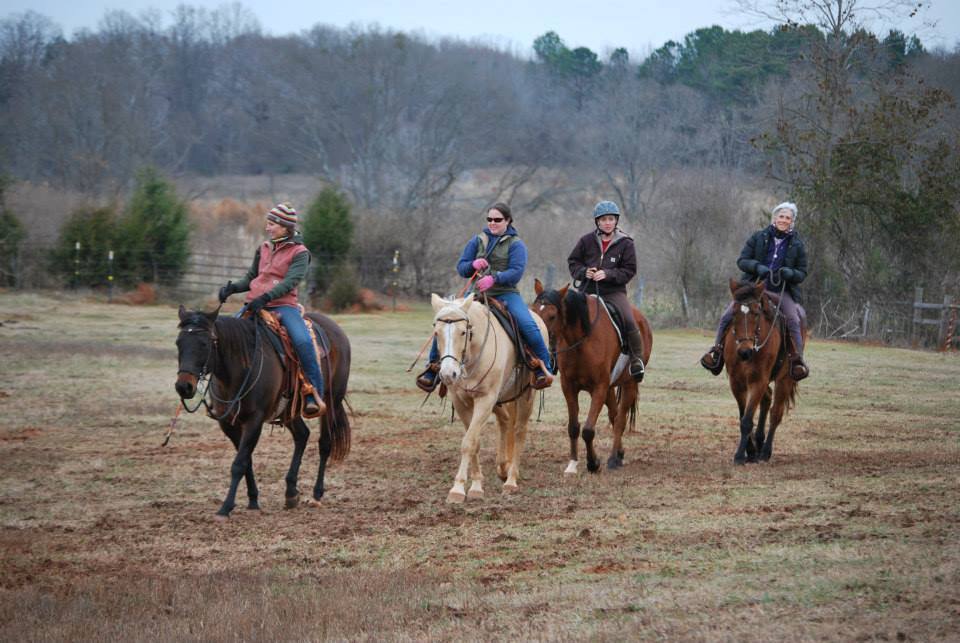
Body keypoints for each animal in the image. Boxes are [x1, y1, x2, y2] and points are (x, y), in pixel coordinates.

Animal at [174, 306, 350, 520]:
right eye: (178, 343)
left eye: (204, 343)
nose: (184, 387)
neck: (240, 367)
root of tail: (336, 329)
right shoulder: (228, 424)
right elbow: (246, 461)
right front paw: (253, 500)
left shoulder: (254, 420)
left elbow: (239, 463)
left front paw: (225, 507)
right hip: (289, 410)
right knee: (302, 435)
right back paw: (291, 493)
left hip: (331, 401)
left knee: (325, 444)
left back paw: (316, 495)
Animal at [430, 294, 544, 504]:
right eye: (436, 333)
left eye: (463, 332)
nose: (448, 374)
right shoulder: (461, 402)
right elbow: (474, 442)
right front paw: (475, 486)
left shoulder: (485, 400)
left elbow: (468, 442)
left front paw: (457, 489)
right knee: (505, 421)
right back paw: (503, 468)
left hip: (526, 395)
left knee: (519, 431)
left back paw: (511, 480)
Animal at [532, 280, 652, 472]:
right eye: (533, 310)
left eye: (552, 316)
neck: (582, 340)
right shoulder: (569, 386)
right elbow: (573, 427)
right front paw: (573, 463)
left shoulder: (599, 388)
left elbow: (588, 430)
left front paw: (593, 463)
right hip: (610, 388)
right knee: (614, 415)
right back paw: (619, 454)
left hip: (630, 384)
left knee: (620, 420)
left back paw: (613, 459)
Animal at [728, 280, 804, 466]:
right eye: (733, 313)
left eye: (756, 313)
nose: (744, 352)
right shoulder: (736, 382)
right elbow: (743, 416)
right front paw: (750, 451)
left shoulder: (758, 381)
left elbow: (747, 420)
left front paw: (740, 455)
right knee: (767, 399)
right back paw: (759, 443)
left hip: (785, 379)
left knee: (775, 413)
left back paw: (765, 451)